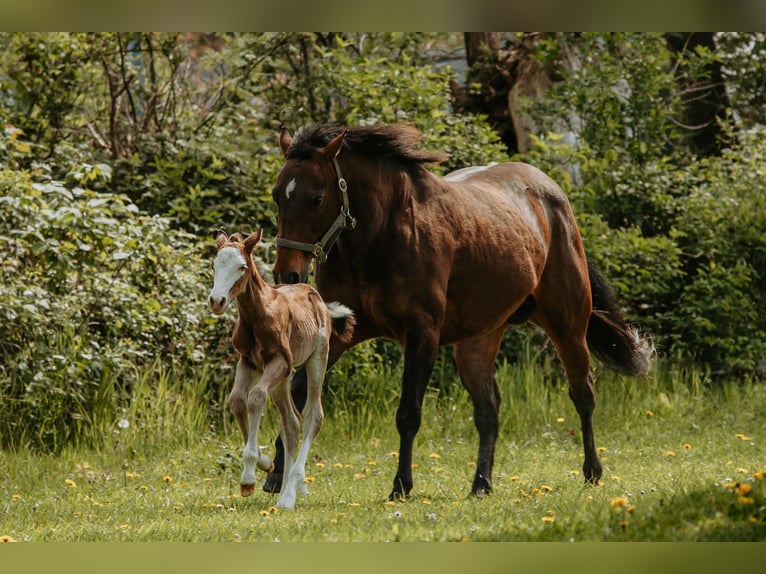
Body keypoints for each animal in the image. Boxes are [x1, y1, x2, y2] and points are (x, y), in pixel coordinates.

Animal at [208, 229, 355, 508]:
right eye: (214, 265)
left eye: (242, 267)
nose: (217, 301)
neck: (256, 316)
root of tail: (318, 297)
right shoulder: (249, 361)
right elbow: (237, 400)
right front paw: (265, 464)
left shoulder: (280, 360)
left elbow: (255, 397)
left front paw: (248, 478)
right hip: (283, 378)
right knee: (291, 422)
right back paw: (288, 487)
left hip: (316, 358)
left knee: (312, 416)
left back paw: (290, 494)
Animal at [266, 123, 653, 501]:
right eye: (277, 194)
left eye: (317, 198)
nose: (288, 274)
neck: (380, 235)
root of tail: (553, 196)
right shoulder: (339, 334)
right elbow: (298, 397)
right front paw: (276, 475)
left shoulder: (422, 335)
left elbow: (408, 413)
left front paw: (401, 485)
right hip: (477, 343)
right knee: (488, 410)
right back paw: (481, 483)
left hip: (567, 326)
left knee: (582, 394)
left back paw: (592, 471)